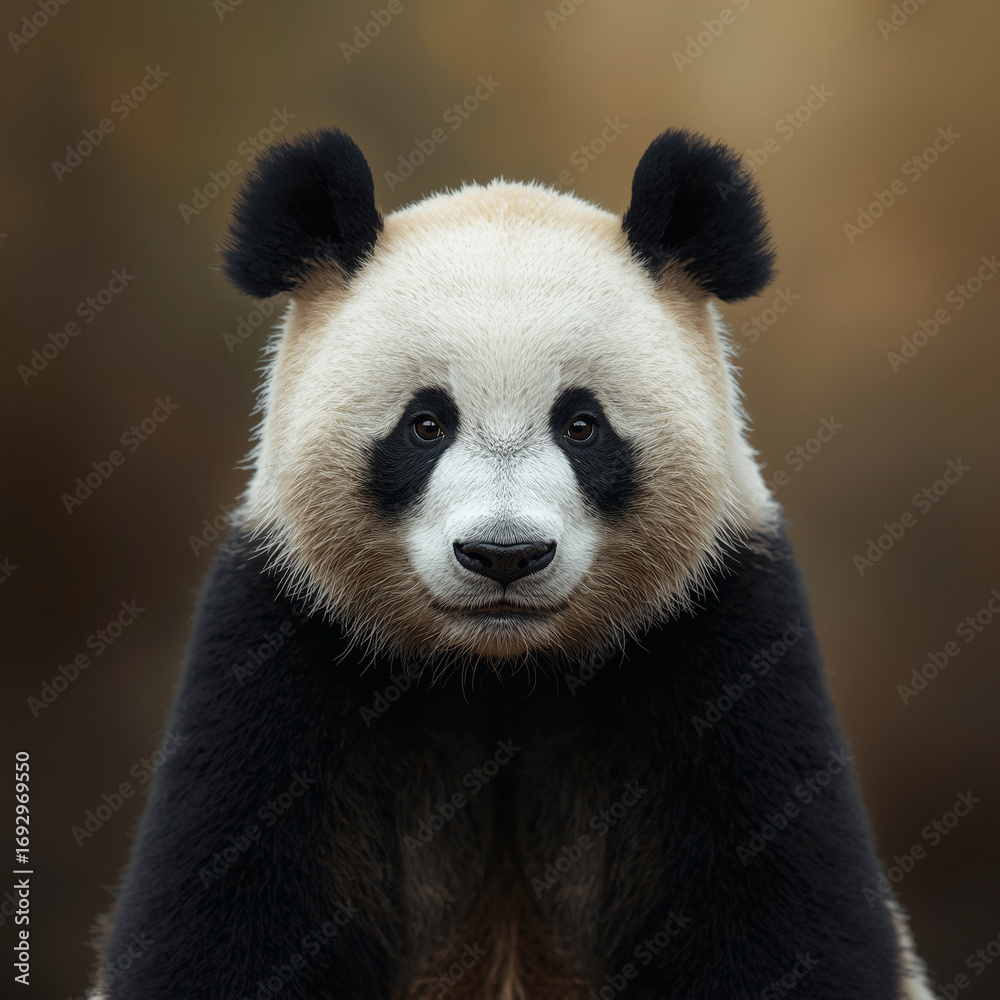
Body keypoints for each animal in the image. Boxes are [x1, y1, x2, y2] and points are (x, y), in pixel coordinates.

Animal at [89, 127, 936, 1000]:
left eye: (582, 425)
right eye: (426, 423)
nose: (504, 555)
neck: (503, 674)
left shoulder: (726, 643)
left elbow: (782, 922)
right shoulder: (280, 645)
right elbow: (224, 922)